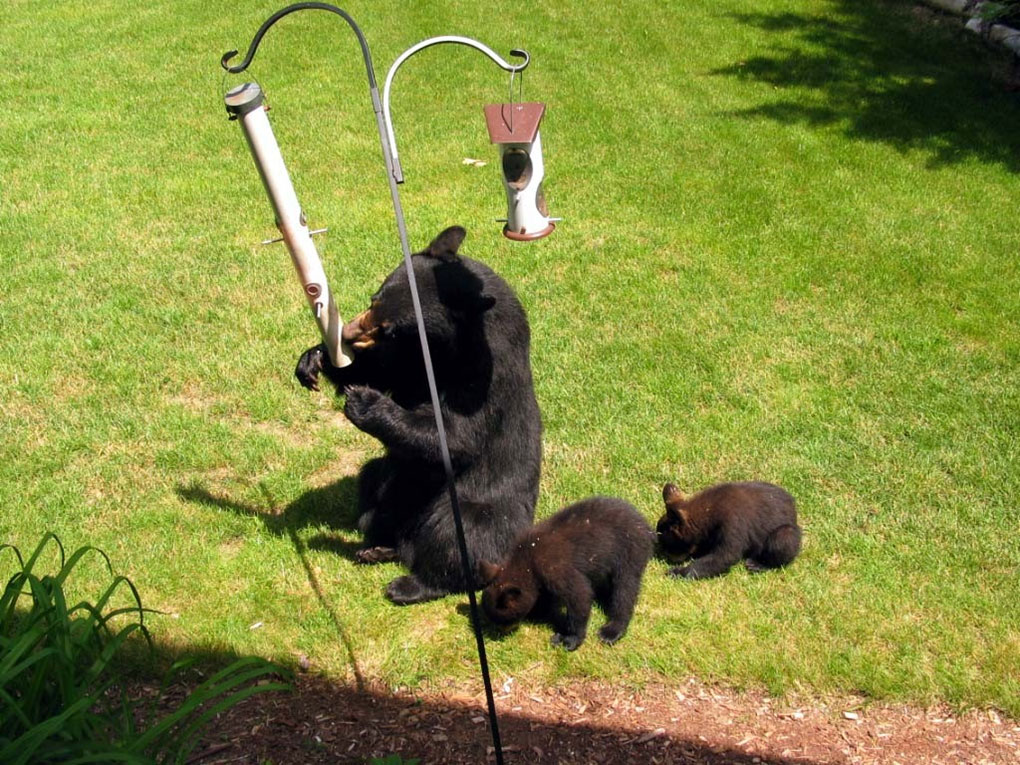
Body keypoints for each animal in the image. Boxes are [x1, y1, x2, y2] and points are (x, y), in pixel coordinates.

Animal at [294, 226, 542, 605]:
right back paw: (378, 547)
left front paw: (365, 401)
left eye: (390, 327)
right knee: (373, 484)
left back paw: (409, 584)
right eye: (373, 299)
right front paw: (316, 358)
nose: (348, 333)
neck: (446, 349)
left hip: (481, 509)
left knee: (461, 536)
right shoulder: (412, 358)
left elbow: (455, 434)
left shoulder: (486, 375)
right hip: (388, 480)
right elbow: (386, 370)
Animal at [478, 497, 654, 651]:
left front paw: (568, 639)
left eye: (502, 619)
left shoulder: (554, 568)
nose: (498, 634)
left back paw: (612, 630)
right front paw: (539, 611)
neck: (527, 561)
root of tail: (646, 526)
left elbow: (579, 595)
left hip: (630, 552)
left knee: (625, 590)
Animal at [657, 481, 801, 579]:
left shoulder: (733, 523)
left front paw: (678, 572)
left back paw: (758, 564)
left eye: (665, 545)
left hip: (786, 532)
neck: (707, 512)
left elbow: (725, 556)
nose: (663, 557)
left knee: (783, 539)